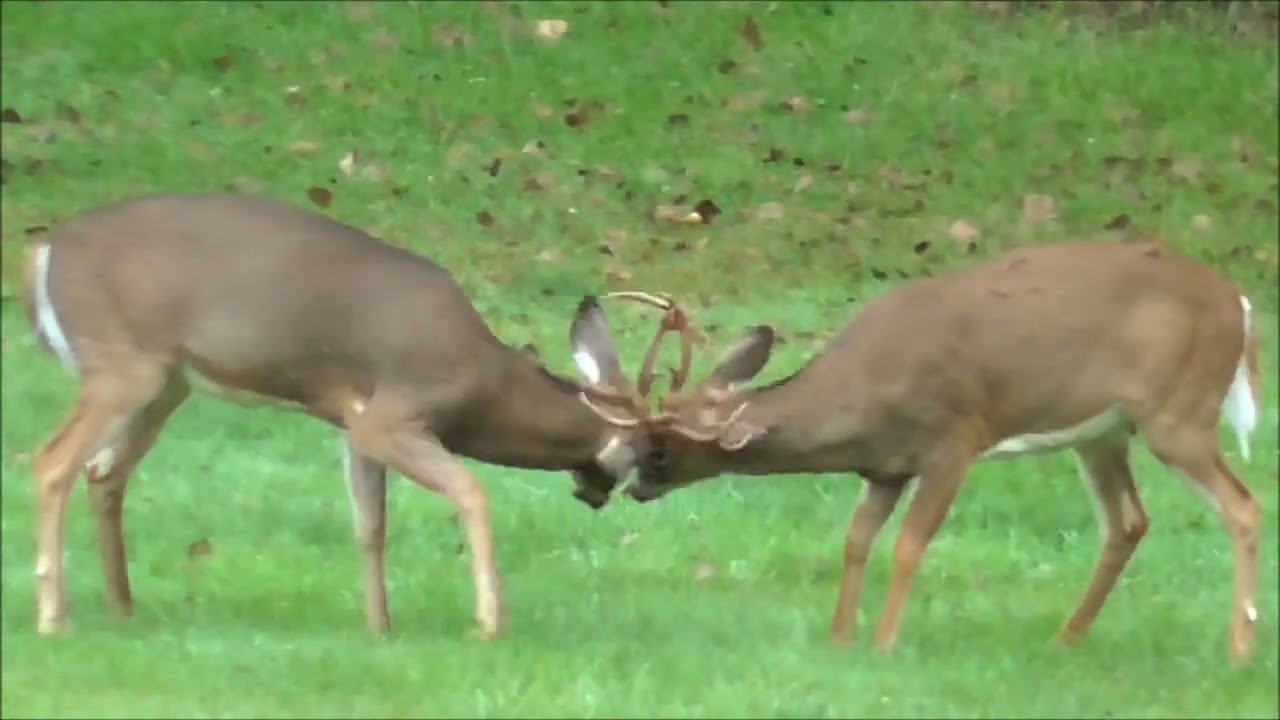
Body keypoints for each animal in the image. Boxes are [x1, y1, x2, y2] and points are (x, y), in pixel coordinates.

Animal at [19, 192, 693, 639]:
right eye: (654, 451)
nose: (642, 495)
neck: (482, 382)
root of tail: (43, 254)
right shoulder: (393, 413)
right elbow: (471, 491)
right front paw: (489, 621)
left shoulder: (353, 424)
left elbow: (370, 526)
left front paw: (380, 629)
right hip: (121, 363)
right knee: (52, 462)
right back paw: (54, 618)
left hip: (167, 382)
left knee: (104, 473)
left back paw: (122, 609)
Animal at [602, 239, 1266, 664]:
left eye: (659, 448)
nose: (632, 486)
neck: (864, 393)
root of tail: (1240, 303)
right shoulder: (884, 468)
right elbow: (856, 542)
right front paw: (841, 638)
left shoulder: (954, 439)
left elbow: (908, 547)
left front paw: (883, 644)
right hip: (1103, 432)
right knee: (1128, 522)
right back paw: (1064, 640)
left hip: (1179, 412)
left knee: (1244, 507)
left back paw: (1238, 651)